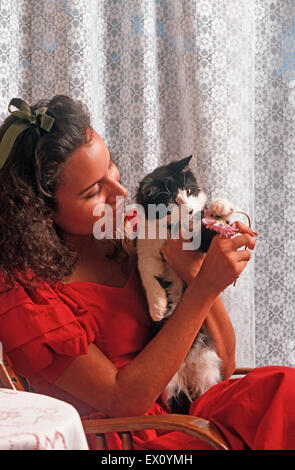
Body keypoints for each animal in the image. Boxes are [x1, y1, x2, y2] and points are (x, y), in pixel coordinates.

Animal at [135, 156, 235, 414]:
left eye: (189, 192)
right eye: (171, 201)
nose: (189, 209)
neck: (174, 229)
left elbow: (211, 227)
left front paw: (221, 207)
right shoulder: (146, 248)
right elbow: (146, 271)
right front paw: (158, 307)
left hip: (210, 371)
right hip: (168, 387)